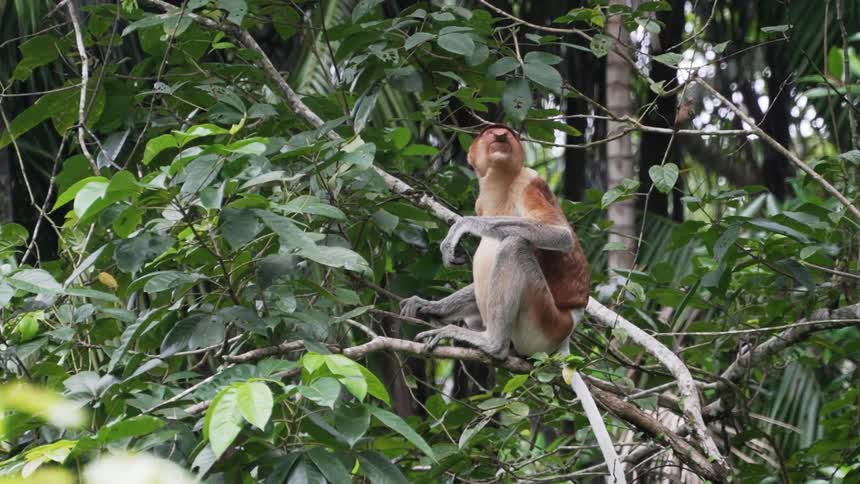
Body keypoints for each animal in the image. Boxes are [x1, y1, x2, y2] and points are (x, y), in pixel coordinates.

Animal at [400, 124, 590, 360]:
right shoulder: (481, 202)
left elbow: (562, 235)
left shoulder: (529, 181)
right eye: (491, 132)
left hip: (546, 325)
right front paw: (428, 305)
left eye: (506, 131)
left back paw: (491, 343)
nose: (501, 135)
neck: (501, 184)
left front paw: (461, 226)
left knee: (514, 245)